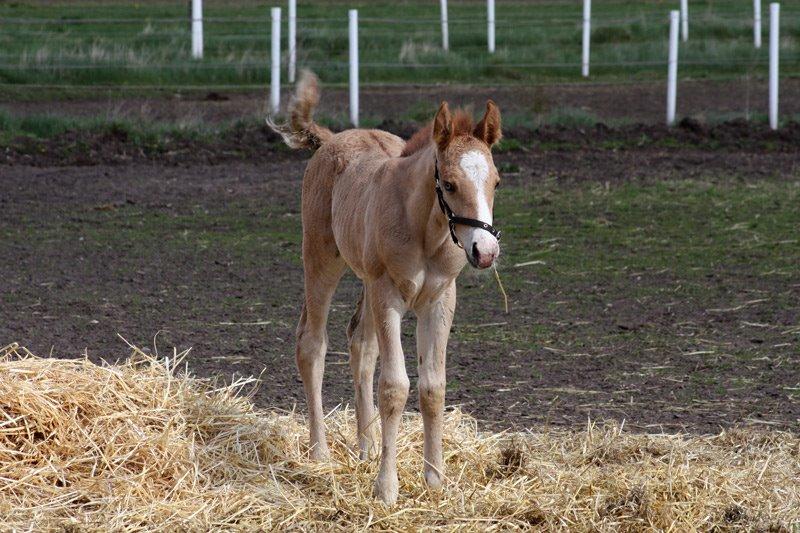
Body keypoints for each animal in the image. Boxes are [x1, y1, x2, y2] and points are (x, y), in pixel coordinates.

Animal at [272, 70, 504, 502]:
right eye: (449, 184)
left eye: (496, 182)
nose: (485, 251)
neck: (426, 230)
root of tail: (332, 138)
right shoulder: (389, 294)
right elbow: (395, 386)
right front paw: (387, 488)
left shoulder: (440, 299)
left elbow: (433, 387)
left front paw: (435, 479)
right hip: (322, 259)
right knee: (312, 343)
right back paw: (320, 452)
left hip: (366, 280)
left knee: (360, 343)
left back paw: (365, 446)